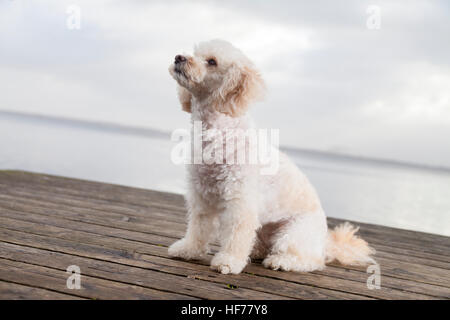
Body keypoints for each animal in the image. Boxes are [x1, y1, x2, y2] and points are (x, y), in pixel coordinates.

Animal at [167, 39, 374, 276]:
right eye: (195, 52)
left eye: (212, 61)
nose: (179, 57)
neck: (219, 132)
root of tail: (324, 243)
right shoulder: (201, 194)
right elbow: (198, 228)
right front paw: (188, 249)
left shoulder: (240, 201)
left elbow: (236, 234)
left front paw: (228, 261)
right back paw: (257, 252)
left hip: (294, 234)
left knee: (311, 261)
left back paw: (282, 261)